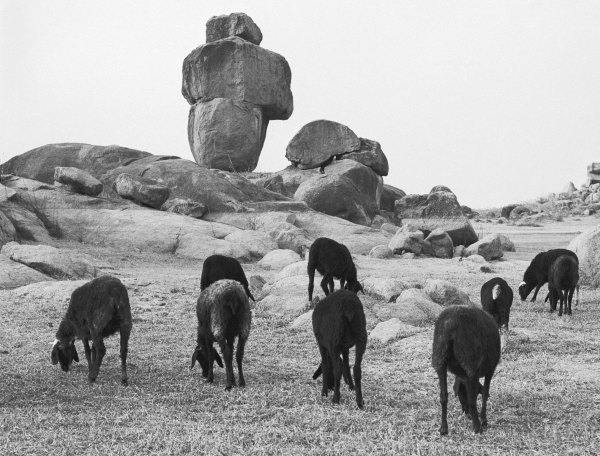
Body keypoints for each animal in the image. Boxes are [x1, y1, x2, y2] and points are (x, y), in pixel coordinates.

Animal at [432, 306, 502, 434]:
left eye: (460, 394)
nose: (467, 414)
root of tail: (451, 324)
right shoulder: (490, 369)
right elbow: (485, 392)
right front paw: (483, 419)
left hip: (439, 359)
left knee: (443, 396)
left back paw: (444, 428)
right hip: (471, 362)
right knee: (472, 400)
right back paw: (477, 427)